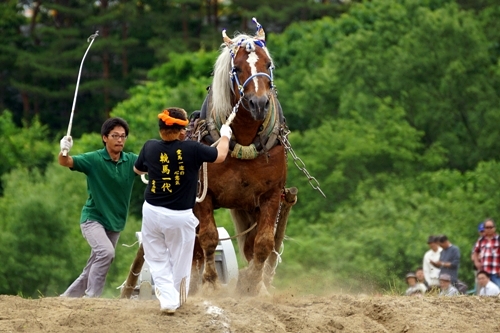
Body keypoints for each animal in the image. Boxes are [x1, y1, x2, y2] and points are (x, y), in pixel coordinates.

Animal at [188, 18, 292, 294]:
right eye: (237, 68)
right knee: (195, 248)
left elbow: (263, 243)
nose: (260, 103)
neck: (243, 138)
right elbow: (209, 238)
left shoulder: (270, 195)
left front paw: (254, 285)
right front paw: (211, 283)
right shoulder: (203, 197)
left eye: (268, 64)